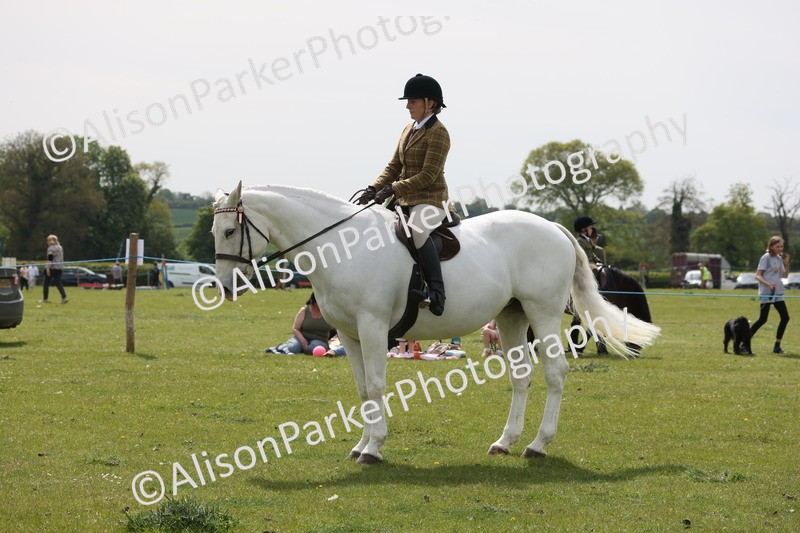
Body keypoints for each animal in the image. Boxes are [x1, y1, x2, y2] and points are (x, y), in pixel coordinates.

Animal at [211, 182, 660, 464]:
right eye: (215, 230)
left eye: (231, 230)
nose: (226, 286)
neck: (341, 246)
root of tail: (551, 227)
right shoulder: (351, 335)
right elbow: (363, 390)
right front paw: (360, 446)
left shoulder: (373, 328)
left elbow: (377, 386)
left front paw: (373, 450)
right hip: (512, 315)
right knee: (521, 376)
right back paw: (505, 442)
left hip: (544, 313)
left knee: (556, 371)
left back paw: (537, 445)